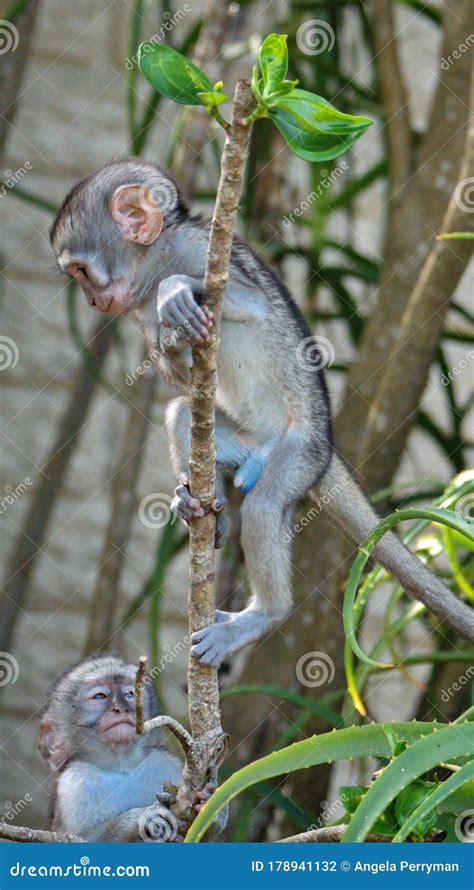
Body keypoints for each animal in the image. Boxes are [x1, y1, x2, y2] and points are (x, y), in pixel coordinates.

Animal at [37, 652, 226, 840]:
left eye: (130, 694)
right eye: (100, 696)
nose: (121, 708)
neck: (121, 767)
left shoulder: (163, 762)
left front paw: (212, 805)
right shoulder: (74, 782)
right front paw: (144, 817)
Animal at [51, 160, 474, 664]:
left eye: (81, 271)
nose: (93, 301)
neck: (152, 261)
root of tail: (324, 447)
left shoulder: (194, 249)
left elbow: (247, 302)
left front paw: (177, 290)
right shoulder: (138, 306)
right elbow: (180, 381)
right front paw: (173, 341)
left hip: (302, 452)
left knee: (266, 505)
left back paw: (265, 615)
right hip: (251, 445)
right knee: (183, 416)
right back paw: (202, 503)